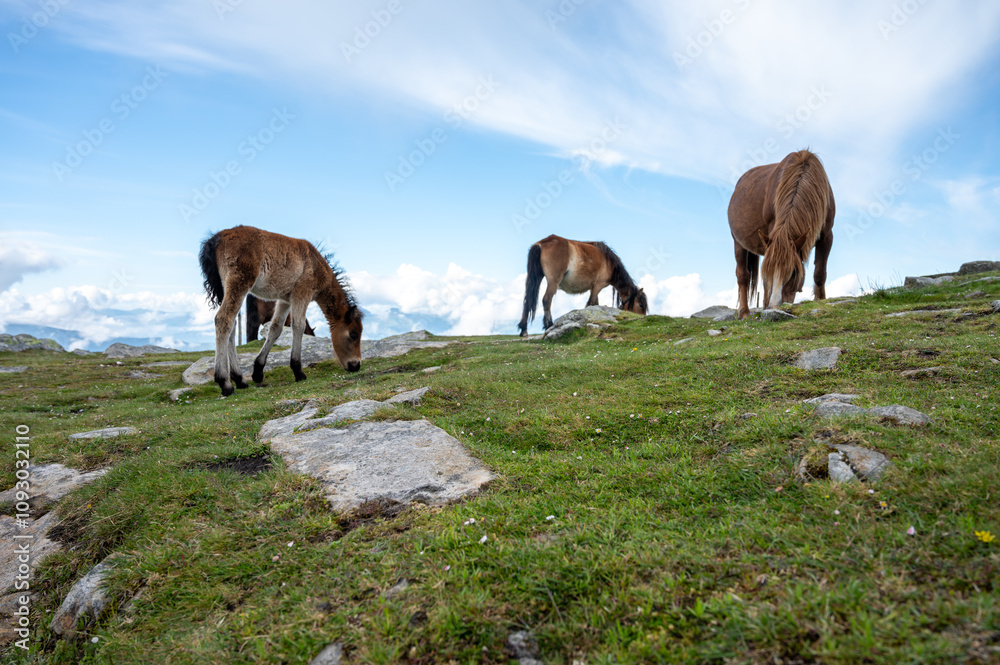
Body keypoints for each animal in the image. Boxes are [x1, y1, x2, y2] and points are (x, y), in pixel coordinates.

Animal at [199, 225, 363, 396]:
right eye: (353, 334)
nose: (356, 365)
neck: (315, 264)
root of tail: (216, 238)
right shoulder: (302, 292)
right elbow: (298, 326)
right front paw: (298, 371)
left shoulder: (285, 300)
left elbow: (275, 328)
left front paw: (258, 371)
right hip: (239, 282)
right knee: (224, 320)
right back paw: (225, 383)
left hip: (227, 288)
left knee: (232, 326)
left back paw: (240, 379)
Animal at [517, 234, 648, 336]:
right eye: (641, 305)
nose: (642, 319)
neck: (609, 262)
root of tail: (540, 244)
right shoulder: (597, 286)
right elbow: (591, 304)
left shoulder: (594, 288)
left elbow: (595, 304)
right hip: (553, 281)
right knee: (546, 300)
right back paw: (549, 325)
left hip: (536, 278)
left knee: (528, 300)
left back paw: (523, 330)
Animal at [728, 149, 835, 319]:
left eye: (793, 273)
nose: (775, 306)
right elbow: (766, 284)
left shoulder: (826, 237)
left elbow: (820, 273)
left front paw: (821, 301)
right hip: (738, 243)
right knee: (742, 276)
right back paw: (744, 312)